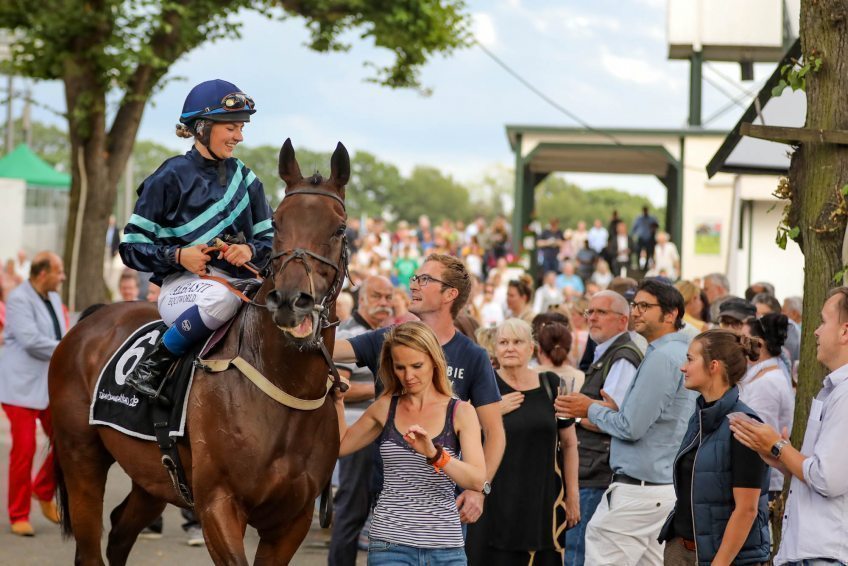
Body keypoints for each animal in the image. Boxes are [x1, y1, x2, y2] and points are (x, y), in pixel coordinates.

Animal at [47, 139, 352, 566]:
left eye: (339, 228)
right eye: (277, 223)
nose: (293, 301)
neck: (283, 389)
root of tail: (92, 317)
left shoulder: (293, 518)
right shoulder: (218, 504)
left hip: (153, 477)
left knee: (120, 531)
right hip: (81, 458)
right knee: (91, 545)